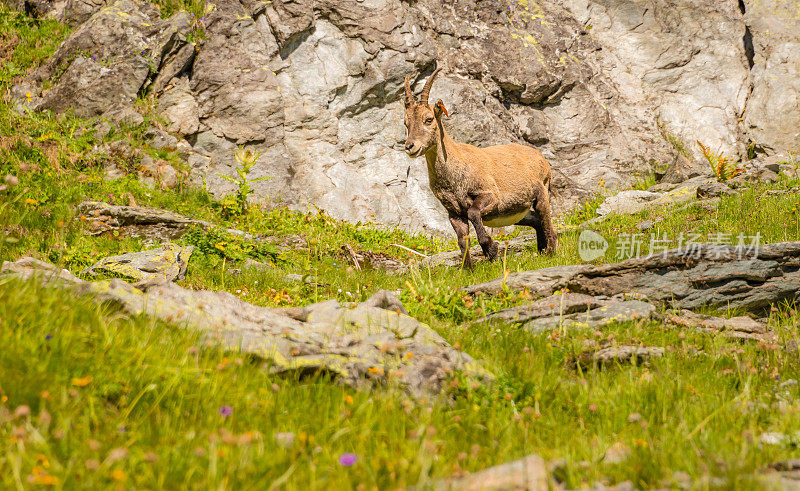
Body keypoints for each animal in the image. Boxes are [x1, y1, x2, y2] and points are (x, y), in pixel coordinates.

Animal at [400, 67, 556, 268]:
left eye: (428, 119)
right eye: (406, 123)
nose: (410, 146)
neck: (455, 169)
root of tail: (541, 158)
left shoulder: (490, 195)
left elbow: (474, 213)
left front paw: (491, 249)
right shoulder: (454, 212)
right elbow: (462, 241)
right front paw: (468, 269)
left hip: (541, 193)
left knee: (548, 223)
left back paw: (551, 252)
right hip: (517, 209)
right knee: (536, 221)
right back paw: (542, 250)